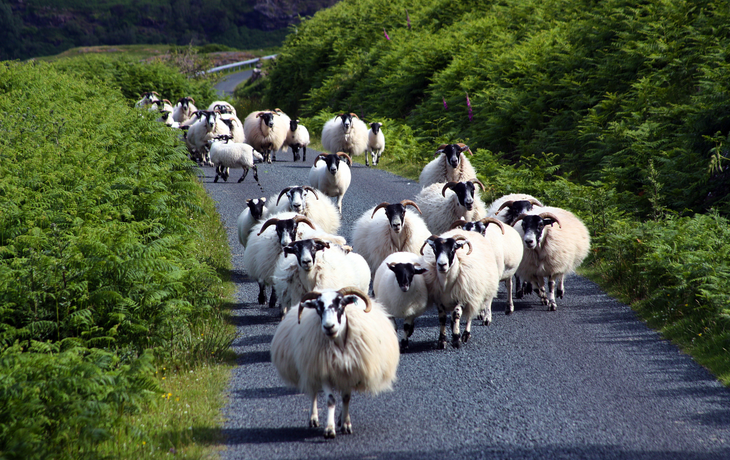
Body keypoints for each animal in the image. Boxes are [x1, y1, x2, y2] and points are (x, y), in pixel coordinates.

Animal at [270, 287, 399, 439]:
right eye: (318, 307)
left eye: (341, 304)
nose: (329, 326)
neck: (338, 343)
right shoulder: (323, 371)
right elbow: (331, 400)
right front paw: (329, 429)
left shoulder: (349, 371)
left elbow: (346, 398)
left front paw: (345, 424)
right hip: (310, 365)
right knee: (313, 391)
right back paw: (313, 418)